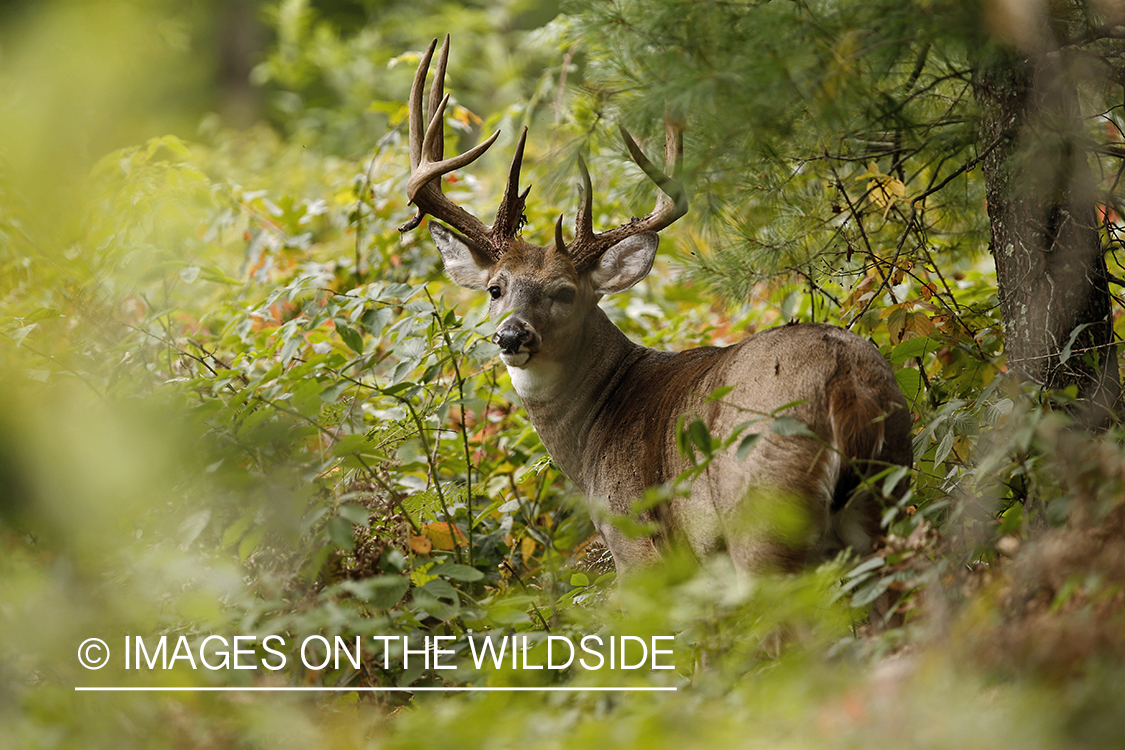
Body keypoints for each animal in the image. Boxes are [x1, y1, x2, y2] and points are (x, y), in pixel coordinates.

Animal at [400, 36, 909, 580]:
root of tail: (845, 383)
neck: (593, 434)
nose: (512, 335)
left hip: (765, 511)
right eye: (496, 288)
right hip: (886, 496)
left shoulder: (636, 545)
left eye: (565, 293)